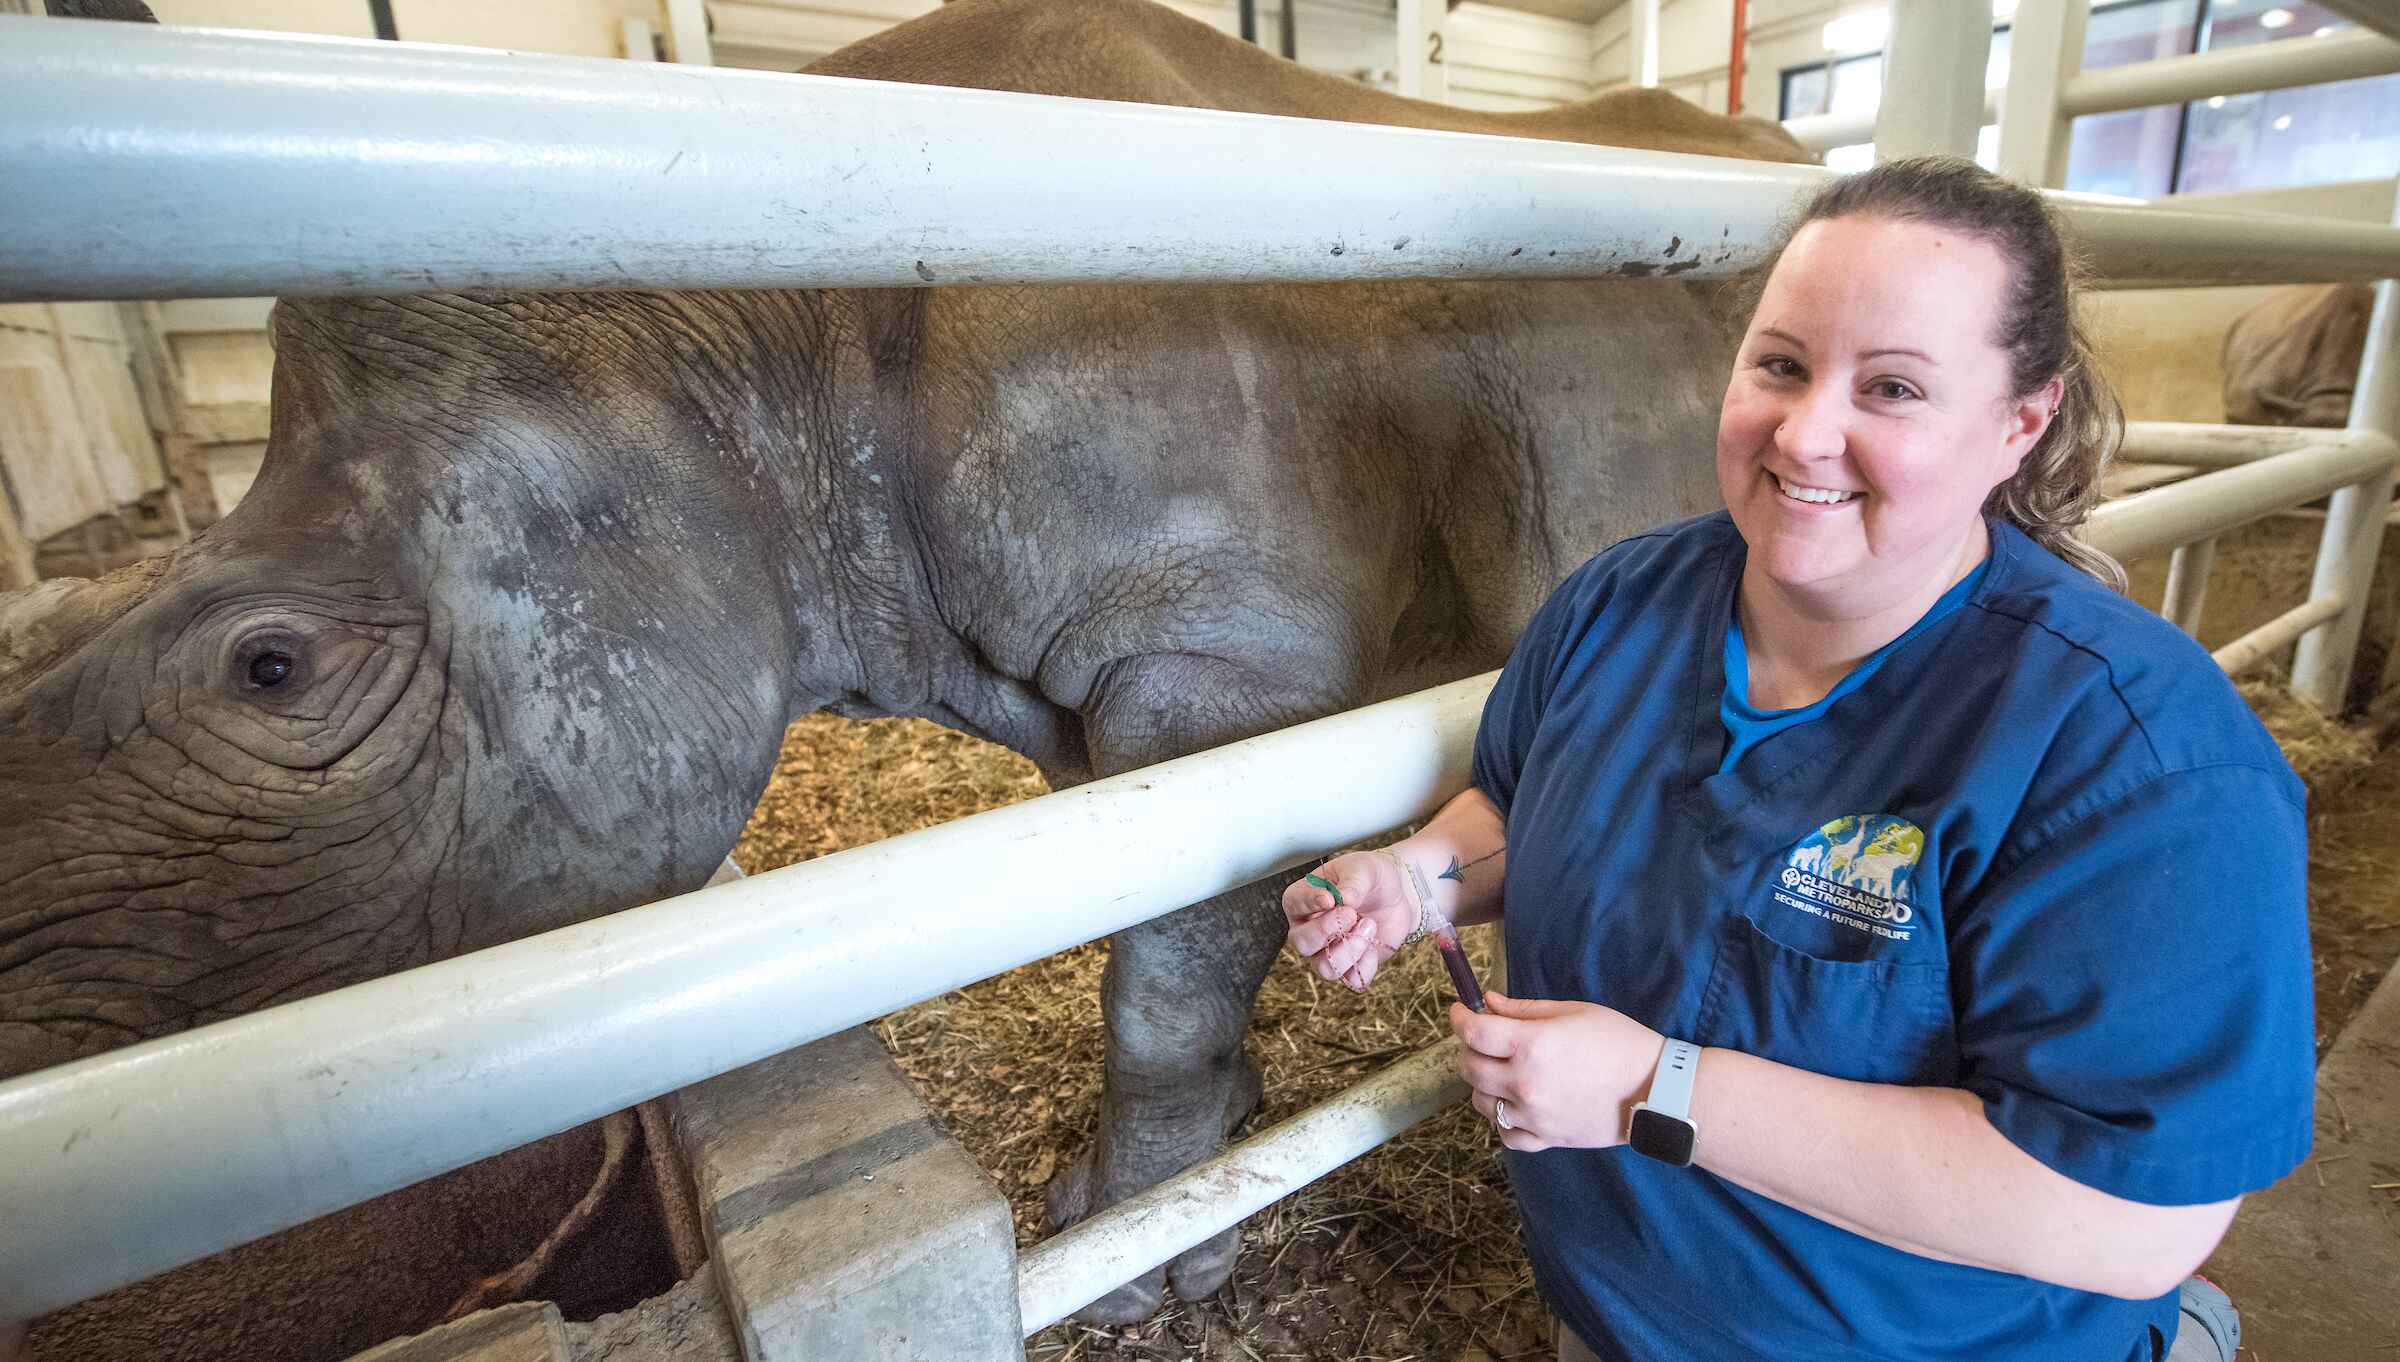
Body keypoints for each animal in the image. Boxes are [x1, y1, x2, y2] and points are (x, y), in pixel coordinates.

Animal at [1, 0, 1809, 1328]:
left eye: (272, 668)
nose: (28, 1012)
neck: (740, 355)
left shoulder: (1216, 659)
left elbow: (1156, 983)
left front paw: (1138, 1257)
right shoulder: (1105, 692)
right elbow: (1167, 931)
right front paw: (1203, 1150)